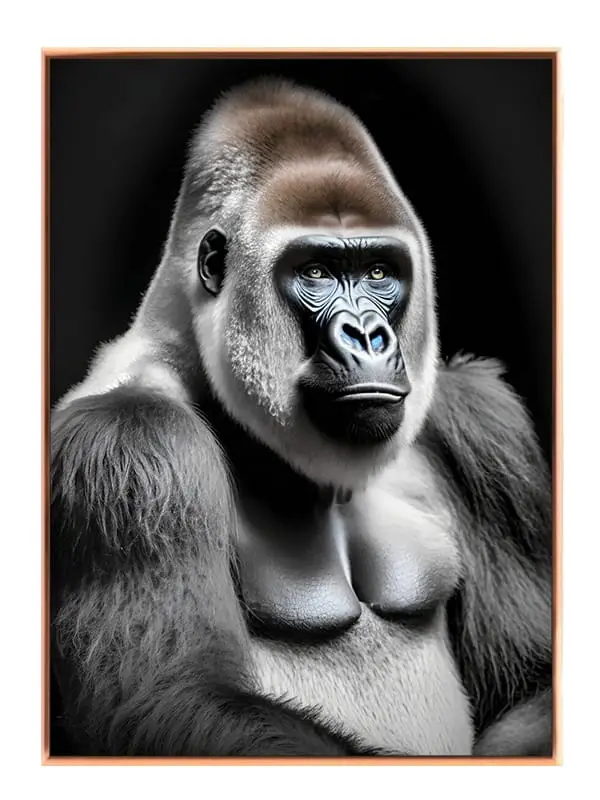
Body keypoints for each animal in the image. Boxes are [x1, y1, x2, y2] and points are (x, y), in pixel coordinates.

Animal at [50, 77, 553, 757]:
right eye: (315, 270)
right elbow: (170, 698)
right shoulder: (131, 447)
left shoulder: (478, 425)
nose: (368, 335)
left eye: (378, 271)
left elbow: (532, 679)